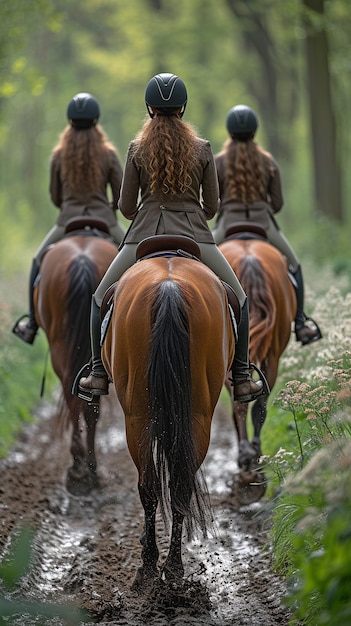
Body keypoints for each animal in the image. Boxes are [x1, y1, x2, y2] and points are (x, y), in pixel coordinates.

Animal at [33, 219, 117, 492]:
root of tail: (82, 259)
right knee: (87, 401)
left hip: (61, 345)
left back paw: (81, 468)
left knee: (75, 397)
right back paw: (87, 468)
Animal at [100, 249, 235, 584]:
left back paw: (150, 565)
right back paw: (172, 568)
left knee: (148, 485)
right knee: (179, 486)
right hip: (197, 414)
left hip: (136, 417)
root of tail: (170, 287)